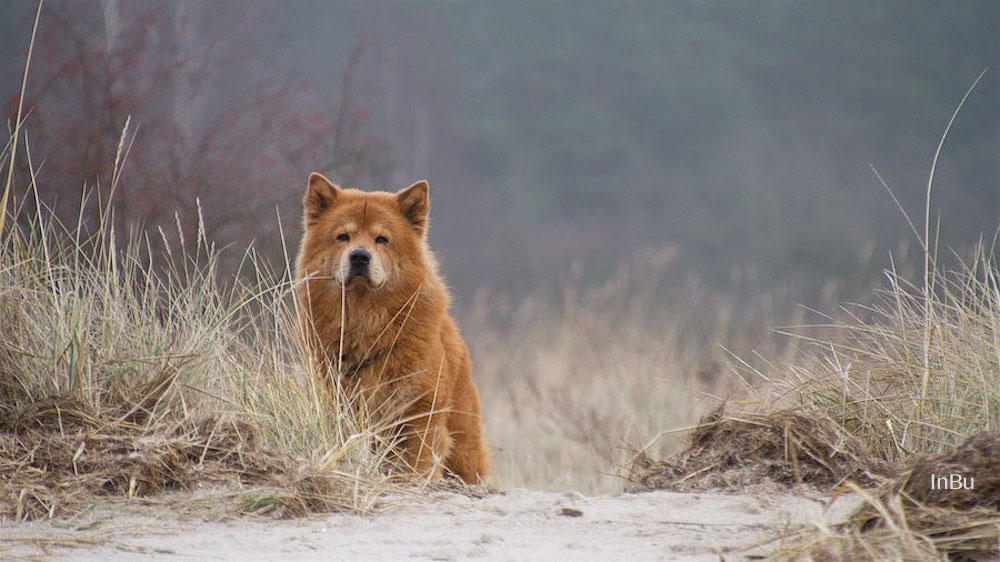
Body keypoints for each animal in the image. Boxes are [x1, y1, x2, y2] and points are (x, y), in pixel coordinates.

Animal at [292, 172, 488, 482]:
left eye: (381, 239)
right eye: (343, 237)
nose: (359, 256)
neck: (365, 323)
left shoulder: (420, 415)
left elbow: (418, 463)